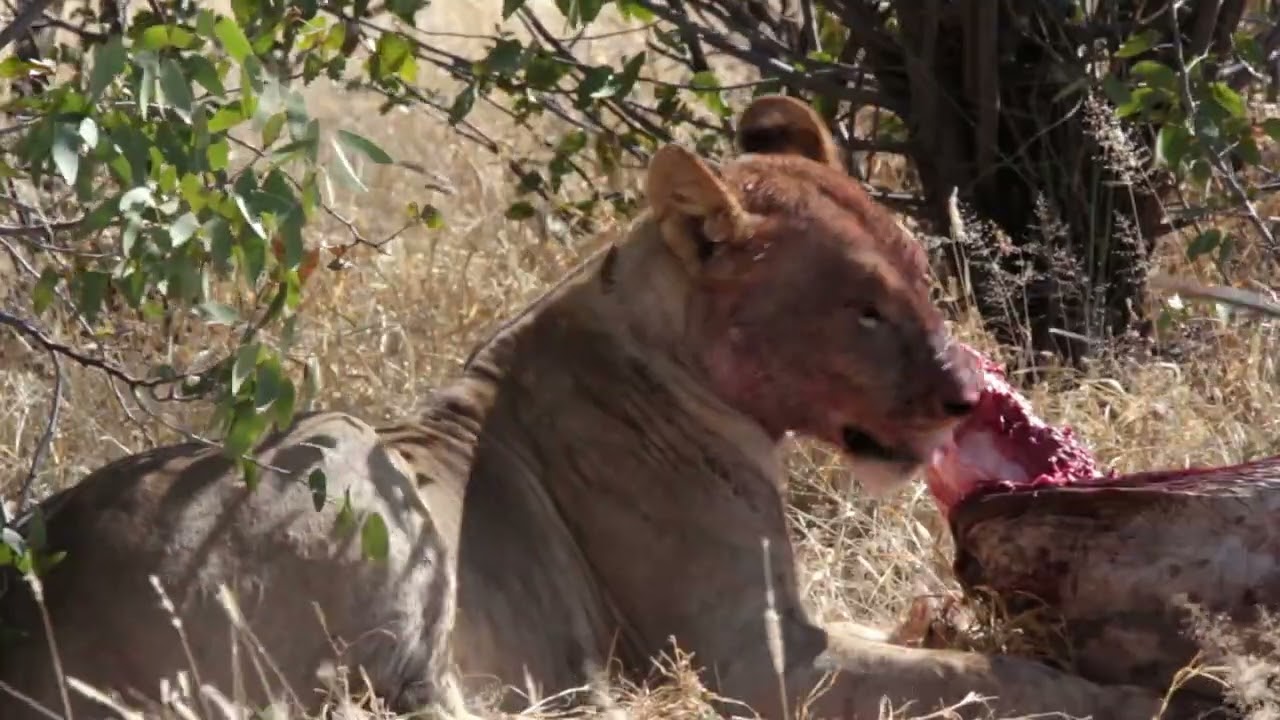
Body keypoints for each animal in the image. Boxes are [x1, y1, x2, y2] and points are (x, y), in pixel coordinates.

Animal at [1, 95, 1176, 720]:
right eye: (862, 310)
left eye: (923, 281)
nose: (968, 395)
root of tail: (34, 612)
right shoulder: (755, 663)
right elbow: (982, 671)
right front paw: (1146, 699)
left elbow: (943, 646)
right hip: (339, 447)